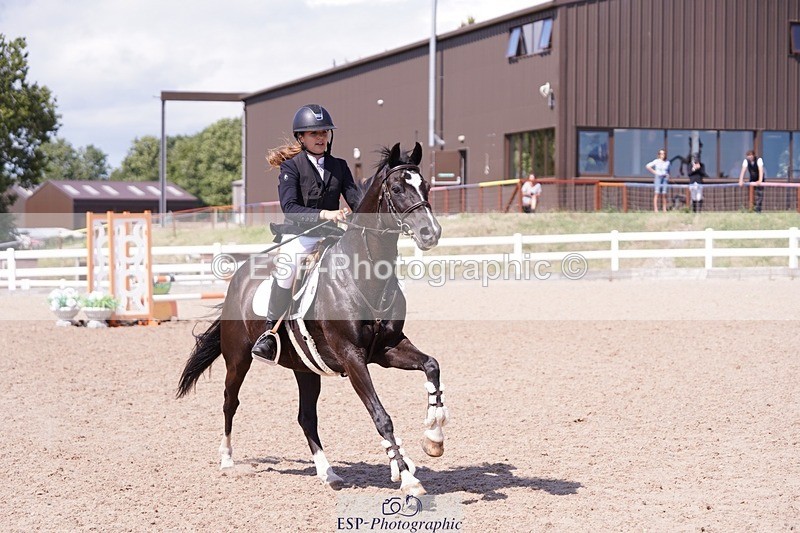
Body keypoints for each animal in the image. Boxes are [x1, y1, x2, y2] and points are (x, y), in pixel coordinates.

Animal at [177, 142, 446, 496]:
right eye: (398, 188)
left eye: (425, 186)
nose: (431, 233)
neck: (362, 275)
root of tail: (239, 276)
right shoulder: (352, 357)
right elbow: (381, 416)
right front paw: (408, 477)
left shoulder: (387, 350)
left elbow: (432, 366)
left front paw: (434, 438)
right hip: (238, 359)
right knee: (229, 402)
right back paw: (227, 460)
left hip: (305, 368)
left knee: (306, 417)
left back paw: (328, 473)